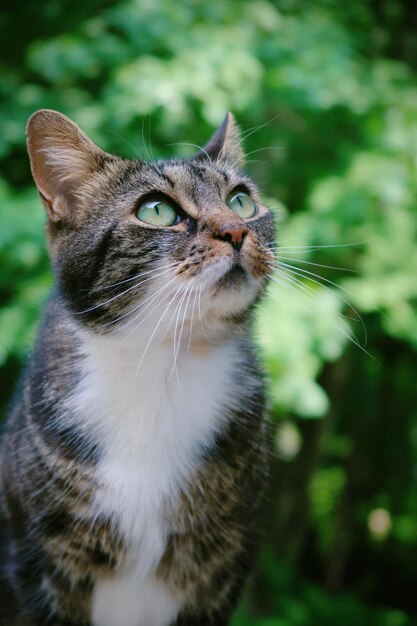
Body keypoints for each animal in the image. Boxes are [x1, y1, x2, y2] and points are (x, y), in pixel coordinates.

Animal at [0, 109, 276, 624]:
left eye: (242, 201)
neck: (163, 367)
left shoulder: (221, 569)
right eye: (156, 211)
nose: (236, 229)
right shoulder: (36, 568)